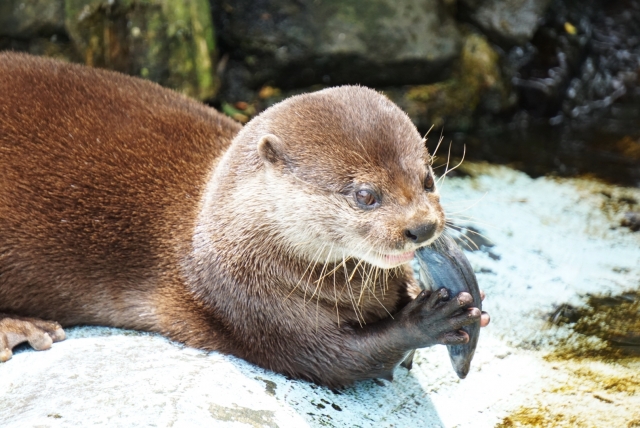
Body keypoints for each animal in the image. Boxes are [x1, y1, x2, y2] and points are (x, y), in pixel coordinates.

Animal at [0, 53, 488, 388]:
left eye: (427, 178)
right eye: (365, 195)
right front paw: (431, 318)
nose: (423, 227)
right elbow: (337, 360)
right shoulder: (250, 306)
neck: (214, 234)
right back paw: (23, 329)